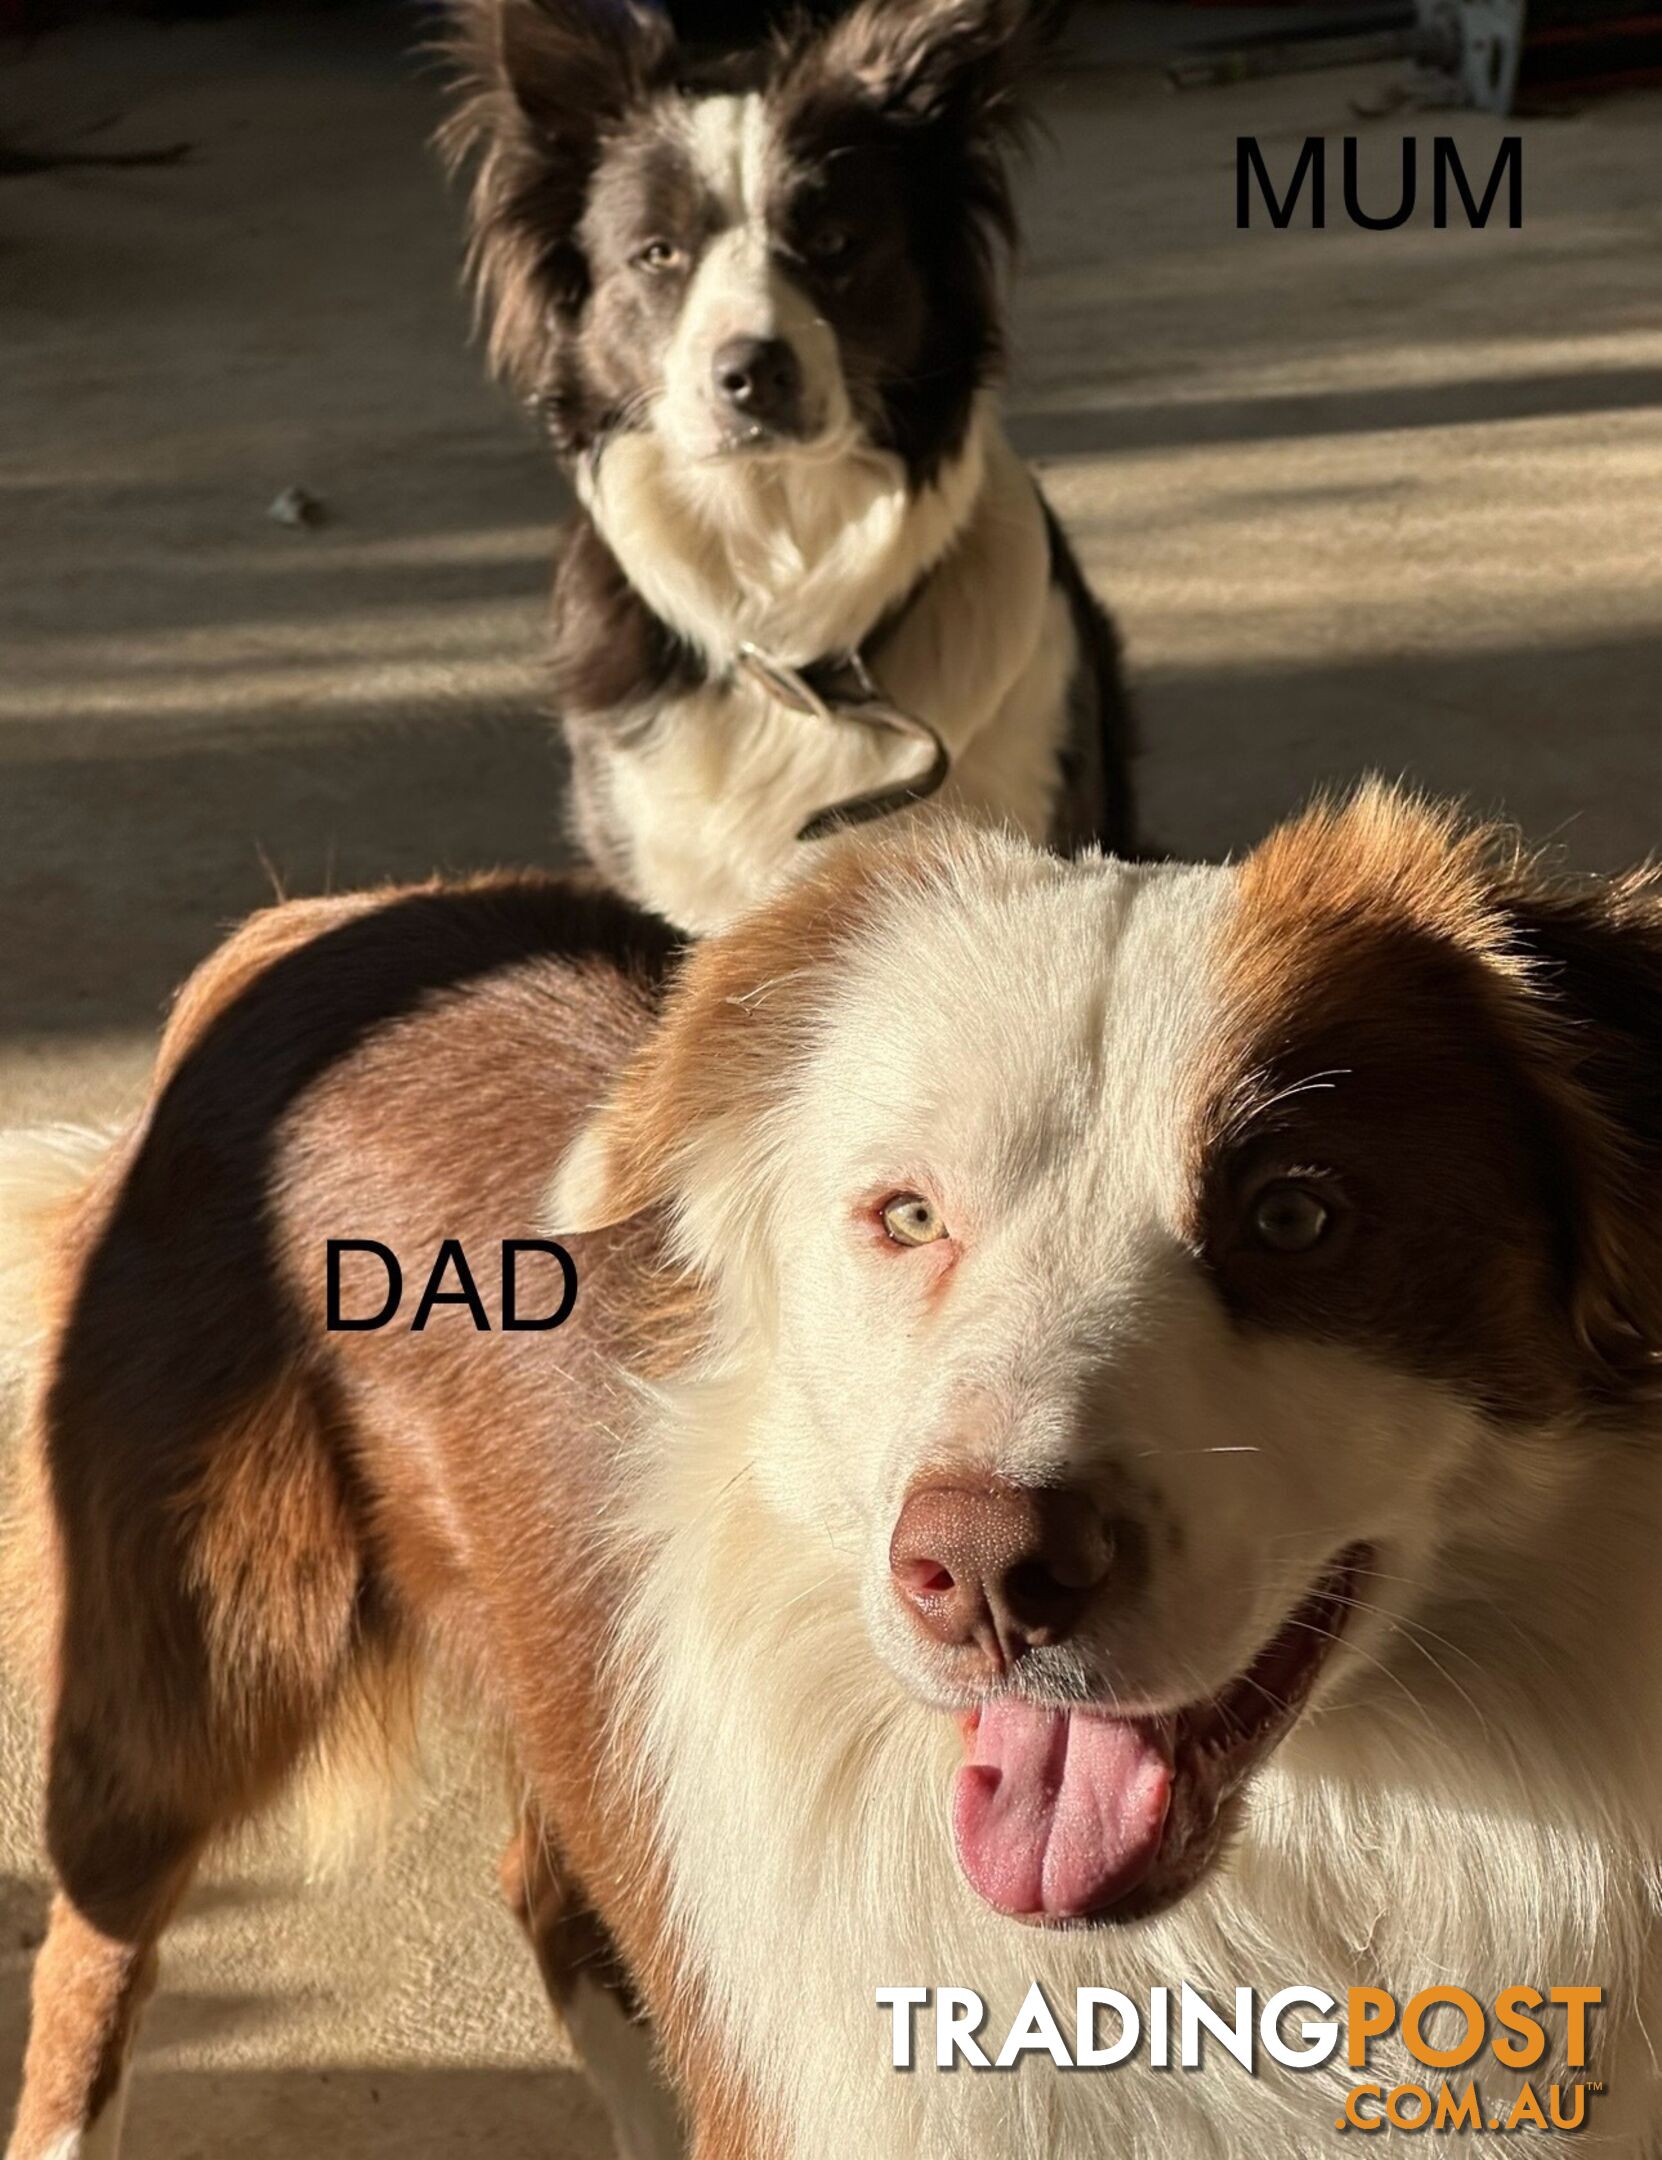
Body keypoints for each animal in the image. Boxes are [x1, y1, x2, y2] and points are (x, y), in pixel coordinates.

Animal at [3, 794, 1659, 2160]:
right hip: (198, 1663)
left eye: (1295, 1215)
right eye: (906, 1215)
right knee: (92, 1953)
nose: (983, 1576)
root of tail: (315, 926)